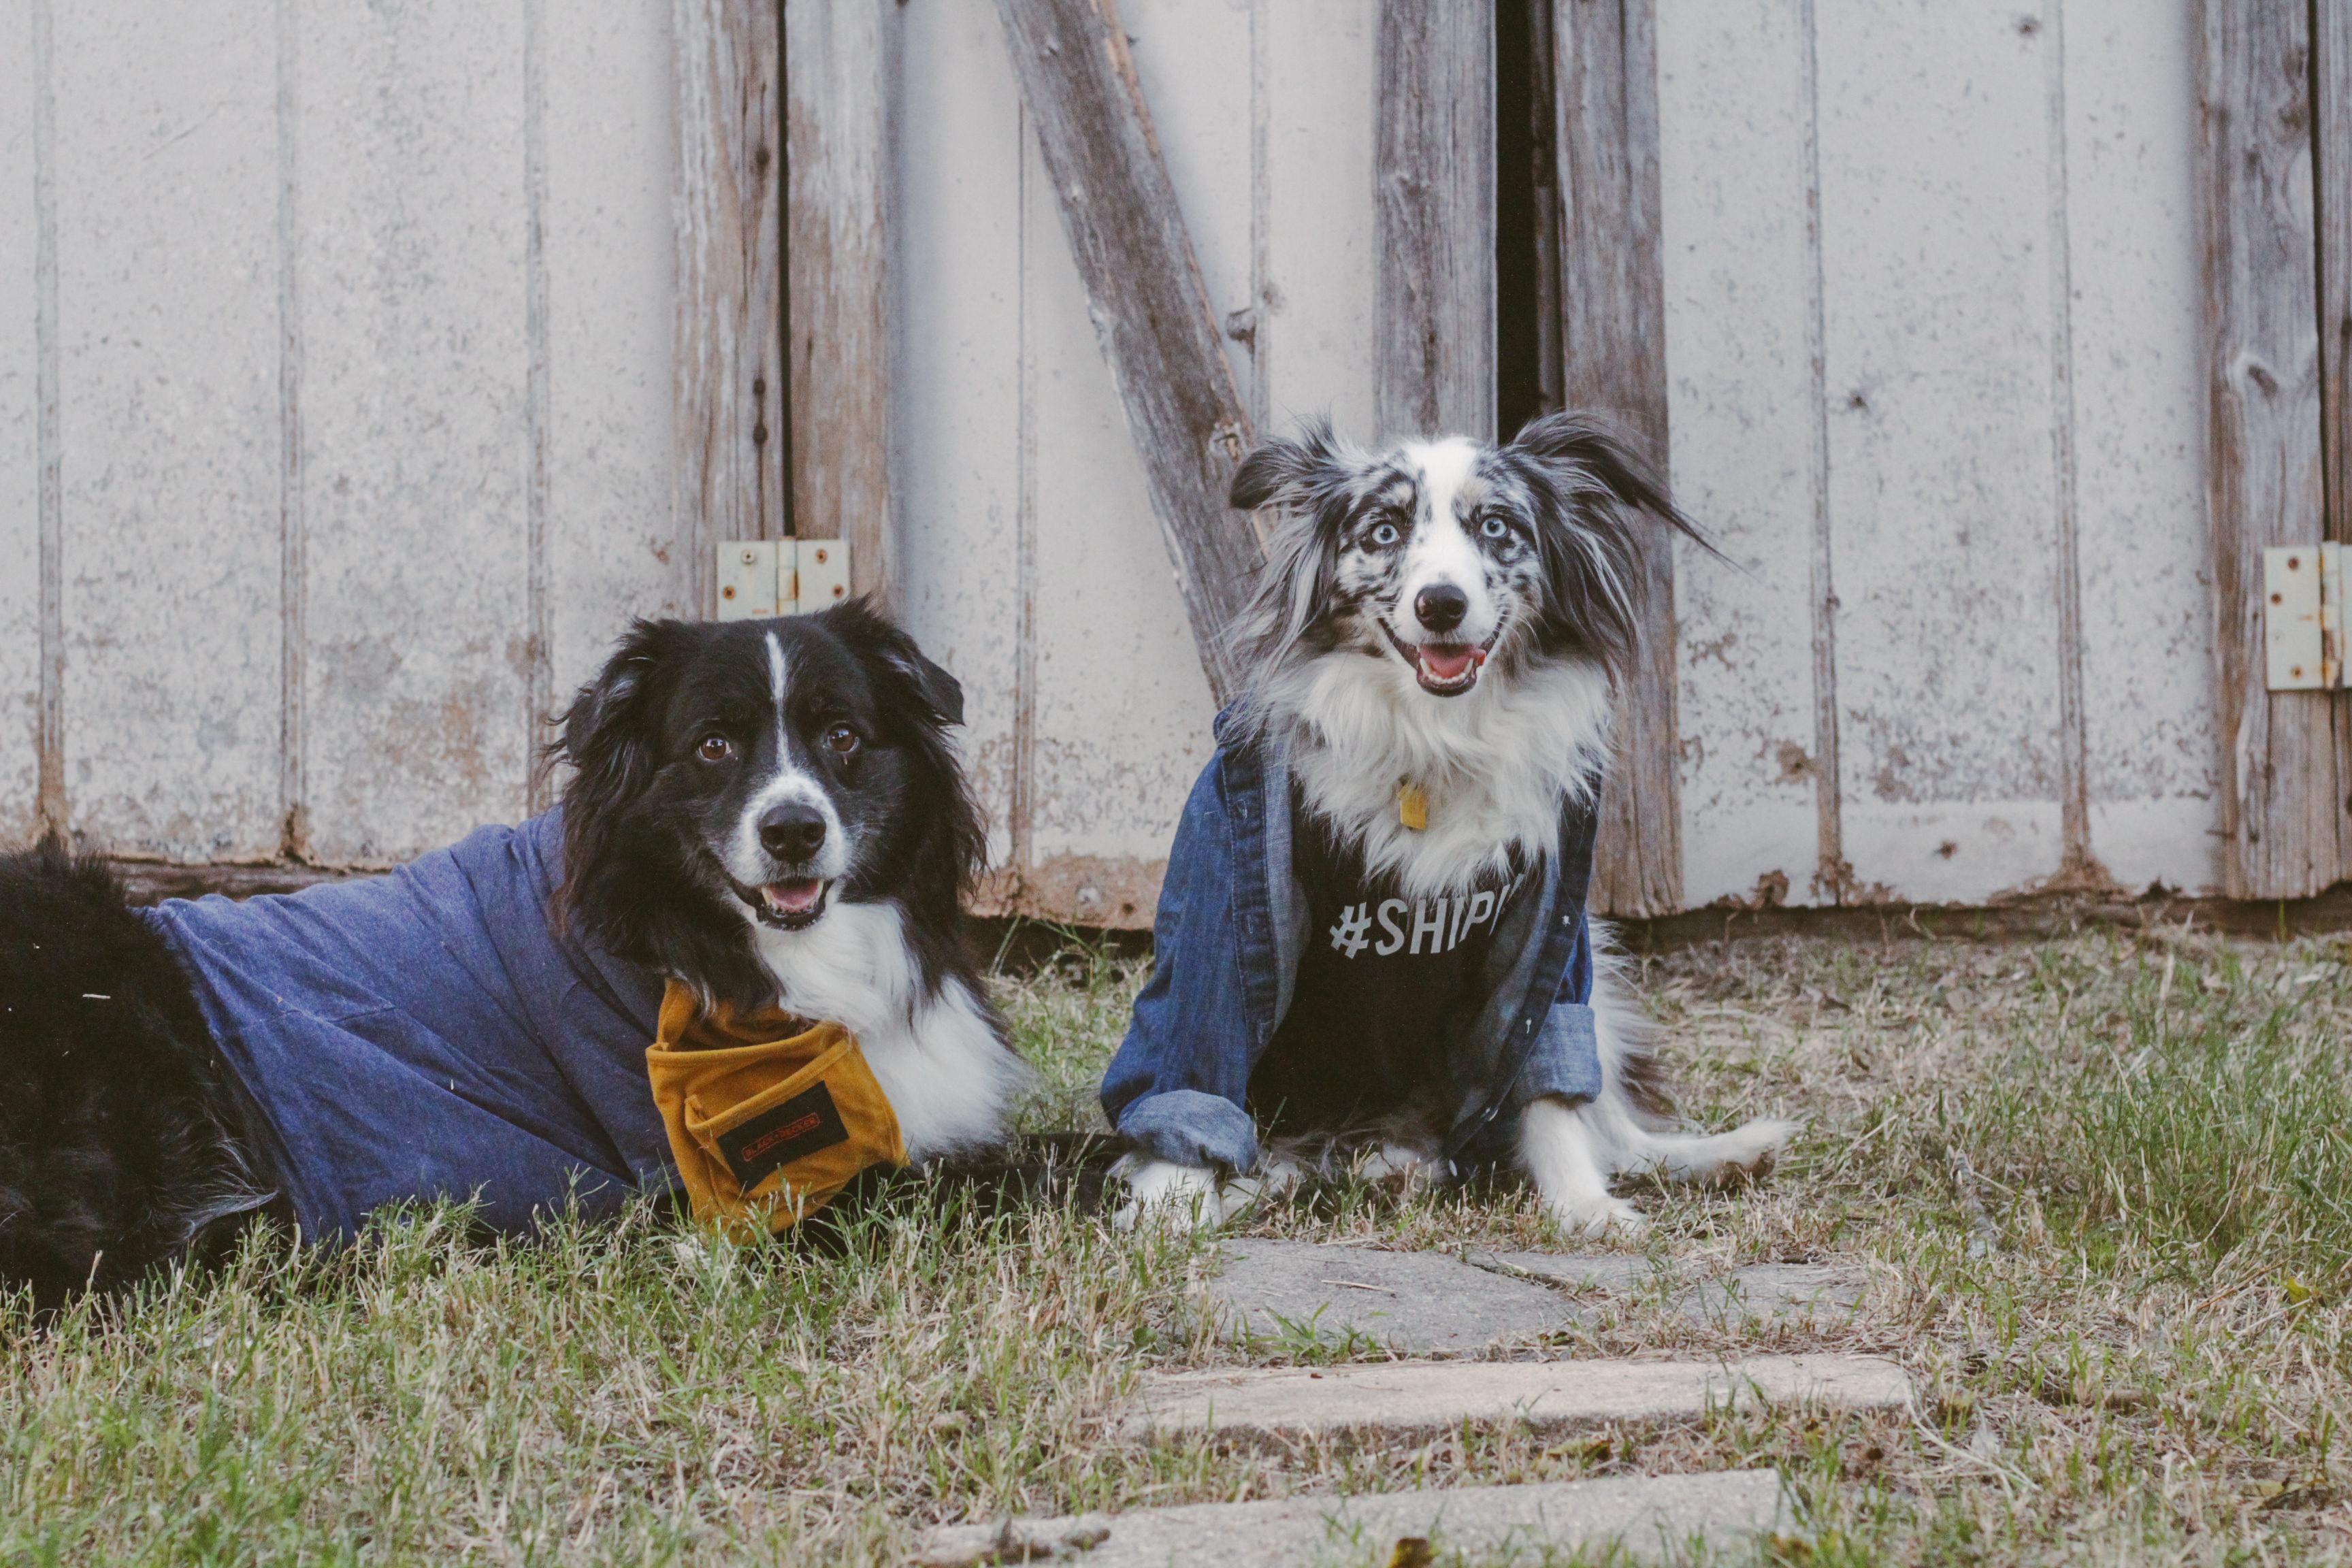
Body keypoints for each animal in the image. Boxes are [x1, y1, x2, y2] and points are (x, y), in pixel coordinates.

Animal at [1120, 413, 1797, 1241]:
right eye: (1383, 531)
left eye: (1497, 528)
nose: (1440, 604)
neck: (1433, 740)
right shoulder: (1226, 901)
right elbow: (1197, 1065)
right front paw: (1168, 1207)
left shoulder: (1551, 928)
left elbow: (1550, 1081)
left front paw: (1584, 1206)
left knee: (1614, 1125)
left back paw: (1722, 1154)